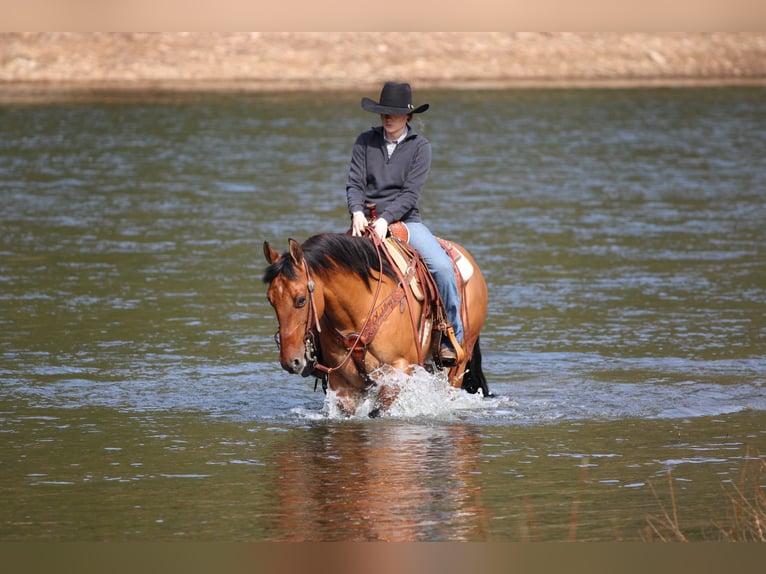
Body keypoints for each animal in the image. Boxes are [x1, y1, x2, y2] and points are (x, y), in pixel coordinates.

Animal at [263, 232, 490, 416]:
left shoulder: (397, 370)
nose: (290, 362)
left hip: (458, 365)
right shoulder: (342, 383)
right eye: (270, 300)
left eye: (301, 299)